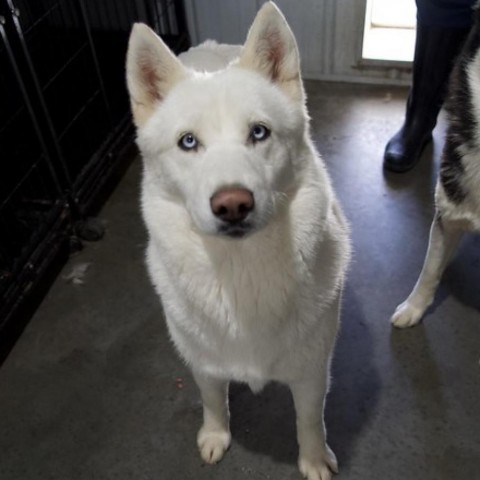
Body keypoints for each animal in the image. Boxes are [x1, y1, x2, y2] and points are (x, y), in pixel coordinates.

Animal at [125, 1, 350, 478]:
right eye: (188, 142)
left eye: (259, 132)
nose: (232, 205)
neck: (240, 271)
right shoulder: (203, 362)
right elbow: (213, 400)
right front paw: (215, 436)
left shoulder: (311, 371)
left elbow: (310, 418)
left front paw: (314, 459)